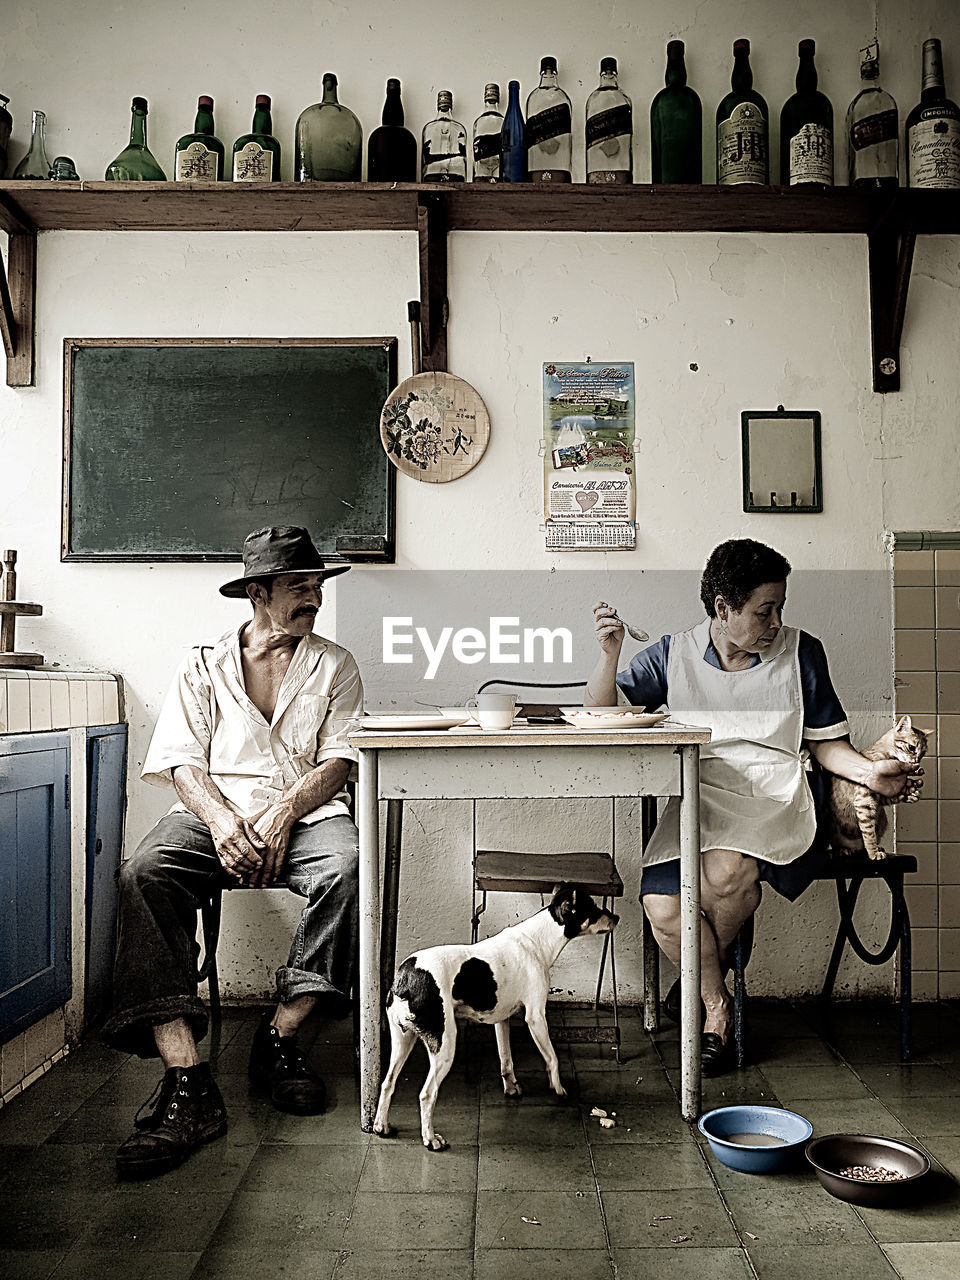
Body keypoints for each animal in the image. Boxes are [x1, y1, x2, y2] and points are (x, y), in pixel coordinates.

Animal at [371, 890, 619, 1152]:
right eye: (593, 908)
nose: (617, 918)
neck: (538, 940)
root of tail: (405, 977)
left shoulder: (502, 1020)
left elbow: (506, 1061)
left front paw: (511, 1089)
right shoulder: (536, 1017)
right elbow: (552, 1058)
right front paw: (559, 1089)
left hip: (402, 1040)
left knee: (387, 1083)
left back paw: (380, 1126)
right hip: (444, 1045)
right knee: (427, 1094)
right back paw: (430, 1139)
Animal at [829, 711, 926, 860]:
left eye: (923, 753)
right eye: (911, 747)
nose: (916, 761)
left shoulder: (879, 798)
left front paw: (911, 795)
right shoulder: (864, 802)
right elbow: (869, 833)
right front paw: (873, 852)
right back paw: (844, 849)